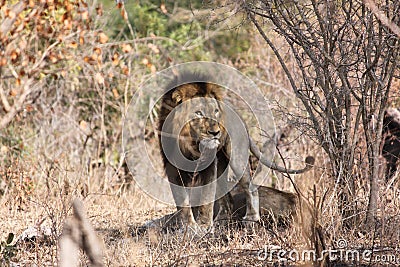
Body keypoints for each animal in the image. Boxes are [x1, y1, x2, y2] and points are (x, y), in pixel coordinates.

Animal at [158, 73, 314, 232]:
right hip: (221, 163)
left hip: (237, 158)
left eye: (215, 111)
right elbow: (181, 199)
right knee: (227, 201)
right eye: (198, 113)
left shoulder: (209, 164)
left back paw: (250, 219)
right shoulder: (170, 165)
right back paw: (221, 222)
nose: (216, 132)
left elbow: (206, 197)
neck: (190, 142)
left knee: (250, 187)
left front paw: (203, 224)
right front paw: (188, 225)